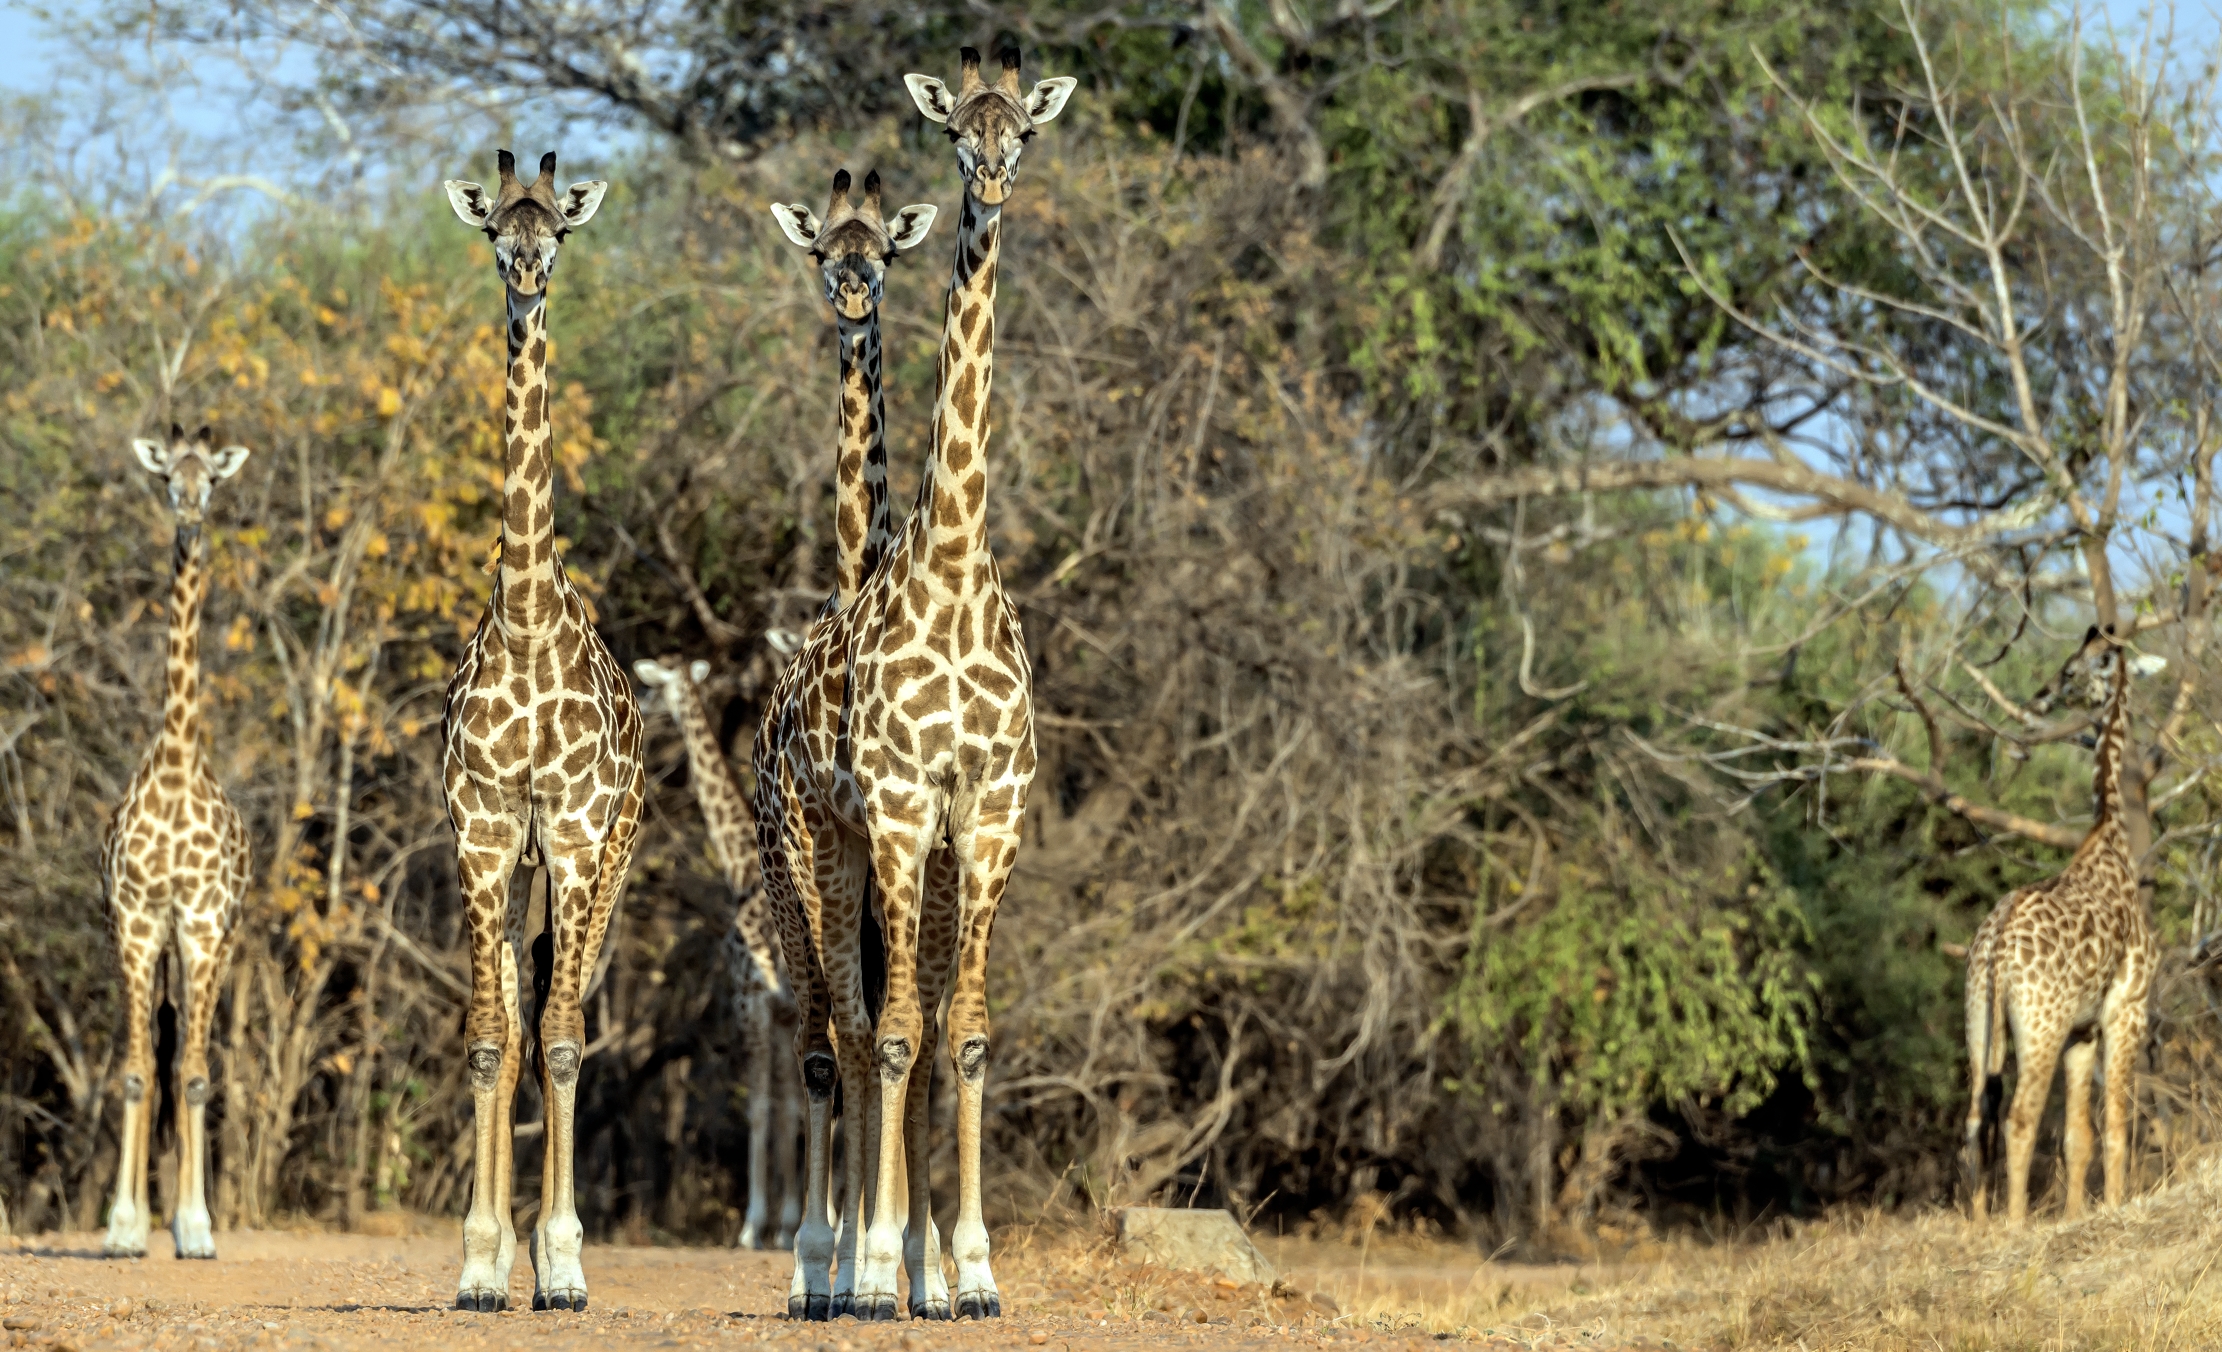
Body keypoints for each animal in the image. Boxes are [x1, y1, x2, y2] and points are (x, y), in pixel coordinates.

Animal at [633, 655, 804, 1250]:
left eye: (652, 687)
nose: (642, 704)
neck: (738, 867)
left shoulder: (751, 996)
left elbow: (759, 1108)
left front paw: (755, 1228)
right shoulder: (781, 1011)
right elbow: (786, 1110)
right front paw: (786, 1224)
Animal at [1963, 623, 2163, 1223]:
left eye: (2074, 668)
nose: (2043, 695)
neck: (2111, 836)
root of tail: (1996, 949)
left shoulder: (2082, 1028)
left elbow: (2078, 1135)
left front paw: (2074, 1215)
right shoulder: (2126, 1007)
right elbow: (2116, 1124)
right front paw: (2116, 1207)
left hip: (1979, 1018)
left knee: (1976, 1118)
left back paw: (1978, 1223)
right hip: (2039, 1024)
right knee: (2018, 1119)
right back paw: (2013, 1224)